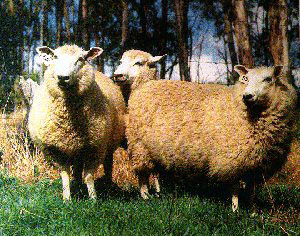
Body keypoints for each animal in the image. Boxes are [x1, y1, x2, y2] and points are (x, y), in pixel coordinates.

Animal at [28, 43, 125, 199]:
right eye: (55, 57)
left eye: (80, 59)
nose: (62, 77)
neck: (69, 123)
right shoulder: (57, 150)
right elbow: (65, 175)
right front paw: (67, 198)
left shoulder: (95, 147)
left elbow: (89, 176)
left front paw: (93, 199)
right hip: (77, 149)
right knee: (78, 170)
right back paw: (78, 187)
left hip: (107, 143)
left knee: (108, 166)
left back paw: (108, 186)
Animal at [116, 60, 296, 210]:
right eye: (245, 79)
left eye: (268, 79)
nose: (247, 96)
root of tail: (145, 86)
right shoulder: (232, 159)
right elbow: (235, 188)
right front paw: (235, 210)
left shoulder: (256, 163)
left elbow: (251, 189)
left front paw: (252, 211)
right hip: (139, 146)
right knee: (142, 174)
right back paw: (145, 196)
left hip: (154, 150)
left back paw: (158, 194)